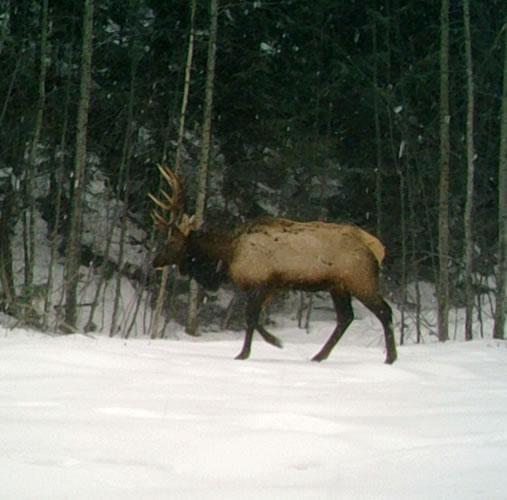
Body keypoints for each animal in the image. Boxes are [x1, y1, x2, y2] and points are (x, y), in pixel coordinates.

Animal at [149, 164, 398, 364]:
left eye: (171, 241)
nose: (155, 261)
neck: (228, 255)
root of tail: (377, 247)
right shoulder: (272, 285)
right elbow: (257, 318)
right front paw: (276, 341)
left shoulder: (259, 282)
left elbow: (250, 317)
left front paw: (245, 353)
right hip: (338, 286)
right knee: (345, 317)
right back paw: (319, 356)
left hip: (360, 280)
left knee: (384, 311)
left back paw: (390, 357)